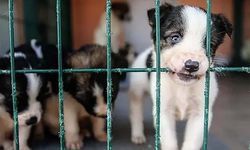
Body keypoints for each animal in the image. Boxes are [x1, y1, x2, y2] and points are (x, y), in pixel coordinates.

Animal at [129, 3, 232, 150]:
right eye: (175, 37)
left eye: (210, 45)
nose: (192, 65)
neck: (182, 86)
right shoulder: (163, 112)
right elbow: (169, 141)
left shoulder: (201, 114)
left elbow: (191, 142)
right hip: (136, 90)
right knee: (136, 112)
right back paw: (137, 134)